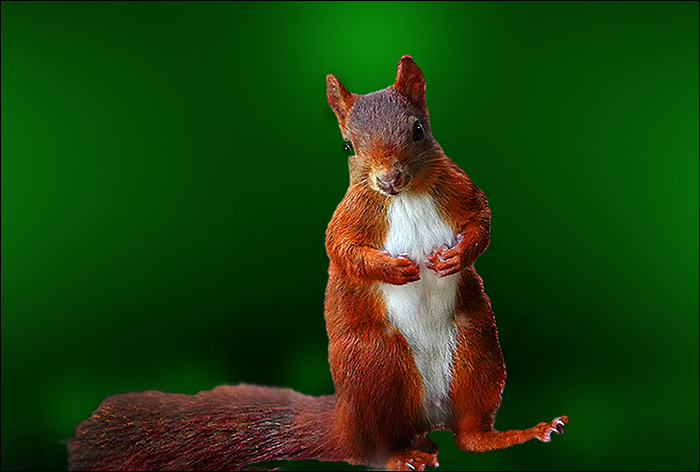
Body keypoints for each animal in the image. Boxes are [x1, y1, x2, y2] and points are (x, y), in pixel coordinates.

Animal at [67, 55, 567, 471]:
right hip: (377, 362)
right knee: (375, 450)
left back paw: (516, 434)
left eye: (418, 130)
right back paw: (402, 457)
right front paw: (395, 271)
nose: (388, 179)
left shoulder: (461, 189)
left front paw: (458, 256)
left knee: (469, 436)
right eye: (347, 146)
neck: (406, 198)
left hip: (477, 346)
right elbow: (340, 250)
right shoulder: (347, 220)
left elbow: (482, 219)